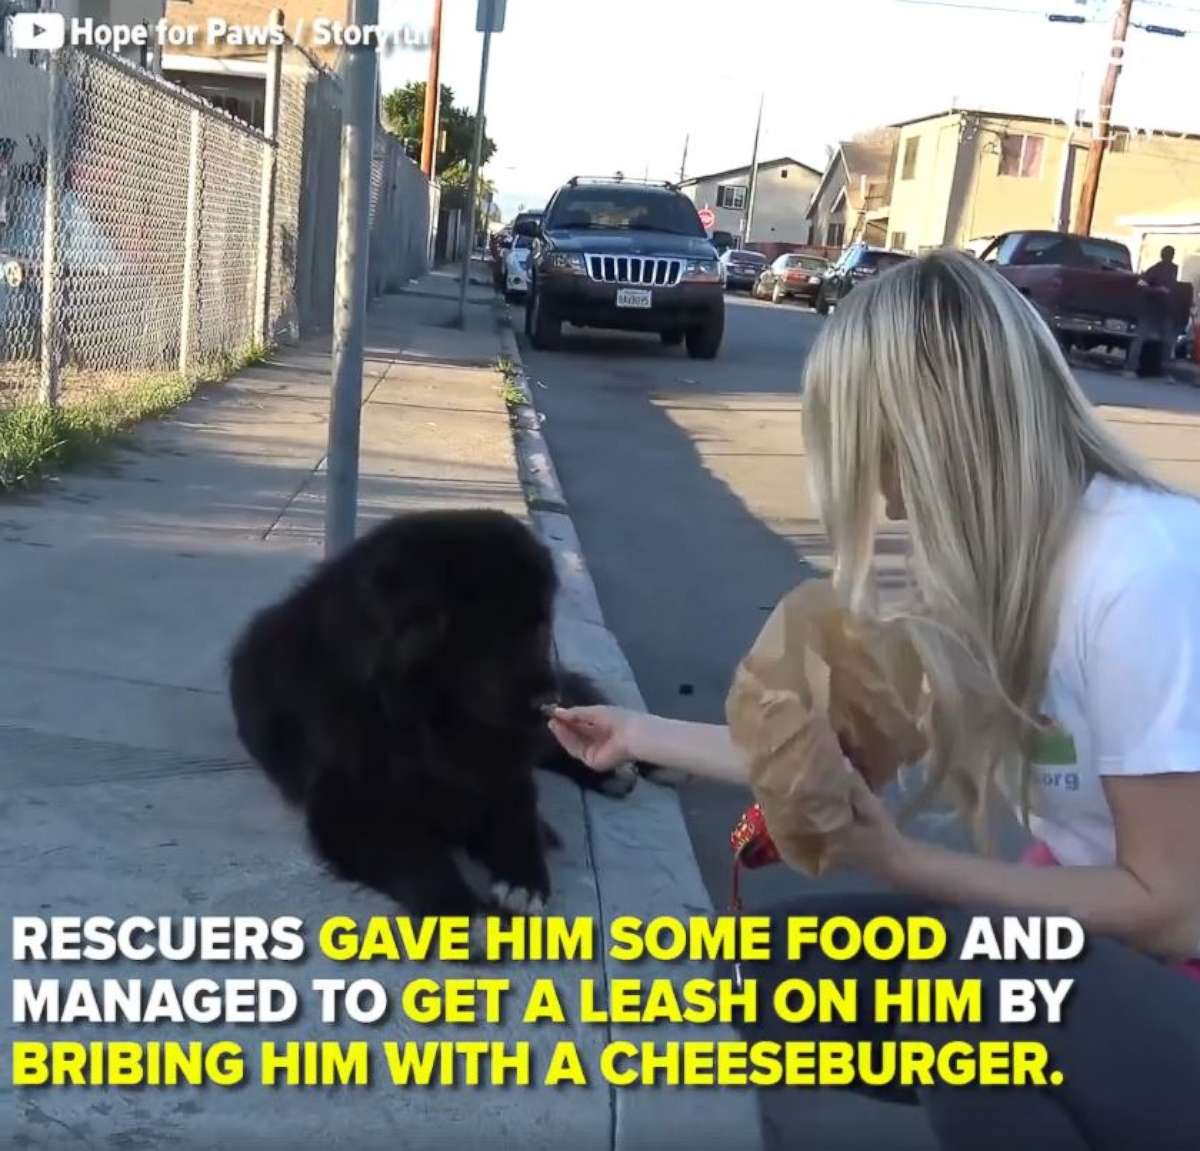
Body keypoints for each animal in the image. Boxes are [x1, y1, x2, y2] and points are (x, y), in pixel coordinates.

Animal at [228, 513, 633, 916]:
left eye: (540, 629)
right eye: (495, 634)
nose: (547, 698)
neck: (424, 723)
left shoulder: (505, 768)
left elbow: (517, 815)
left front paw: (523, 879)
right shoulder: (347, 808)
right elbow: (418, 859)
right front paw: (460, 913)